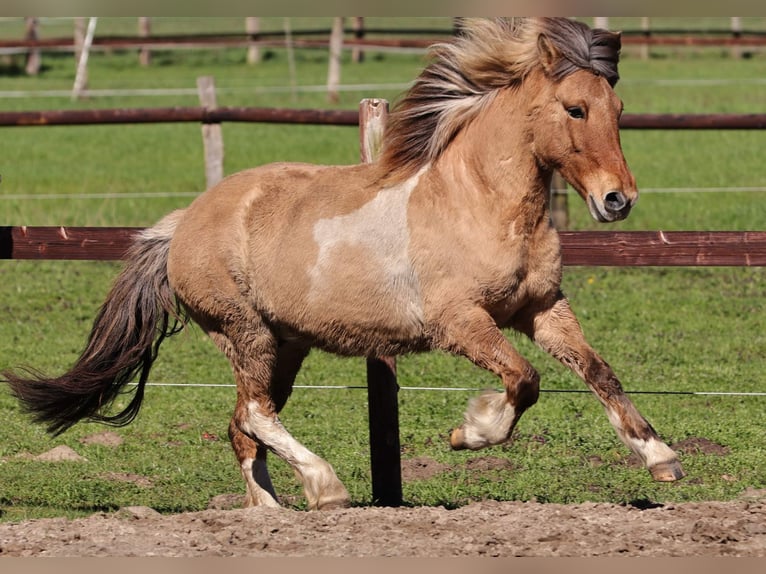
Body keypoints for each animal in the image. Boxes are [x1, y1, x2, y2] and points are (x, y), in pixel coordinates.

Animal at [3, 19, 688, 512]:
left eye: (618, 110)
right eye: (575, 109)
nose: (618, 200)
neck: (478, 202)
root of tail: (182, 224)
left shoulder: (541, 308)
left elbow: (599, 373)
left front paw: (661, 456)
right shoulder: (460, 322)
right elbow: (525, 380)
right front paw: (469, 432)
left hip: (285, 345)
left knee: (243, 424)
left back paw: (271, 511)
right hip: (244, 332)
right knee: (256, 415)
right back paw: (325, 487)